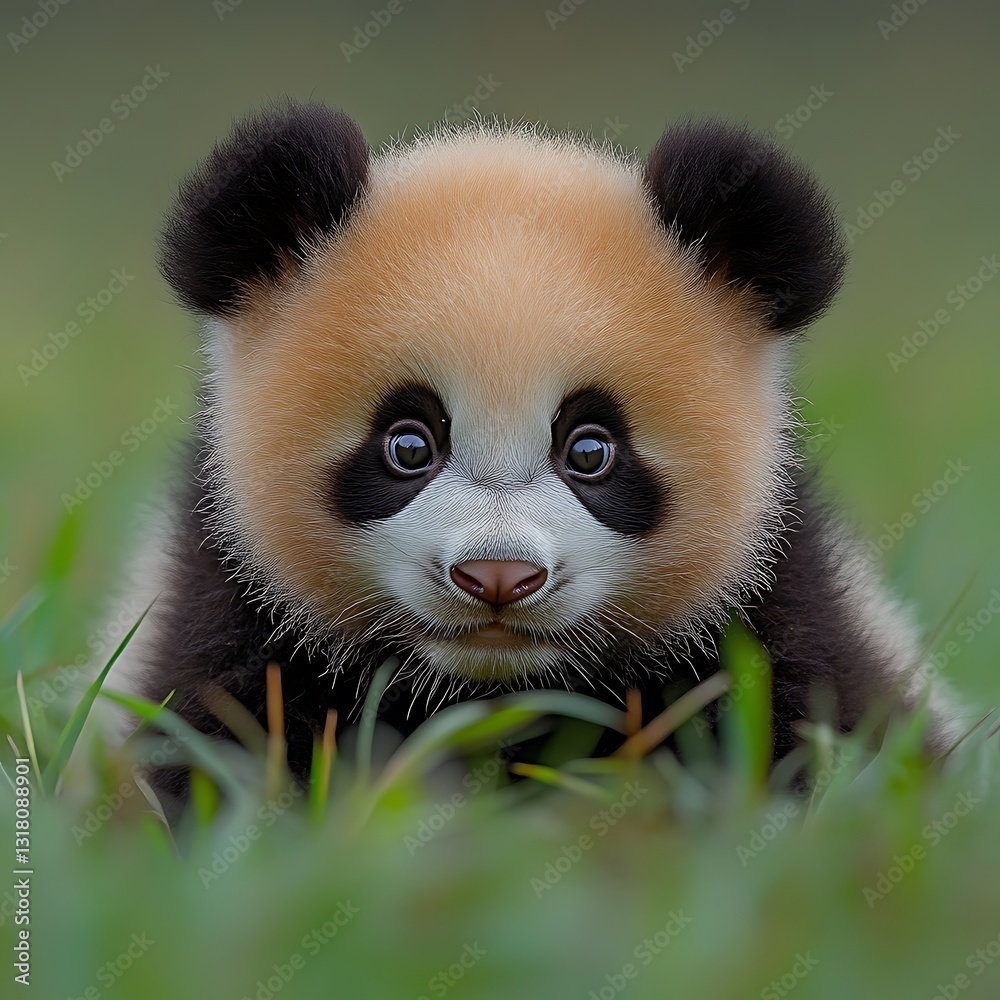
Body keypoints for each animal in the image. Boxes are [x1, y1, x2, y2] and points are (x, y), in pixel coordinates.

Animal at [124, 100, 959, 795]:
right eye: (408, 445)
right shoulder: (226, 600)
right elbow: (211, 743)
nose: (498, 576)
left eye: (591, 452)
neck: (493, 688)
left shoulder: (776, 603)